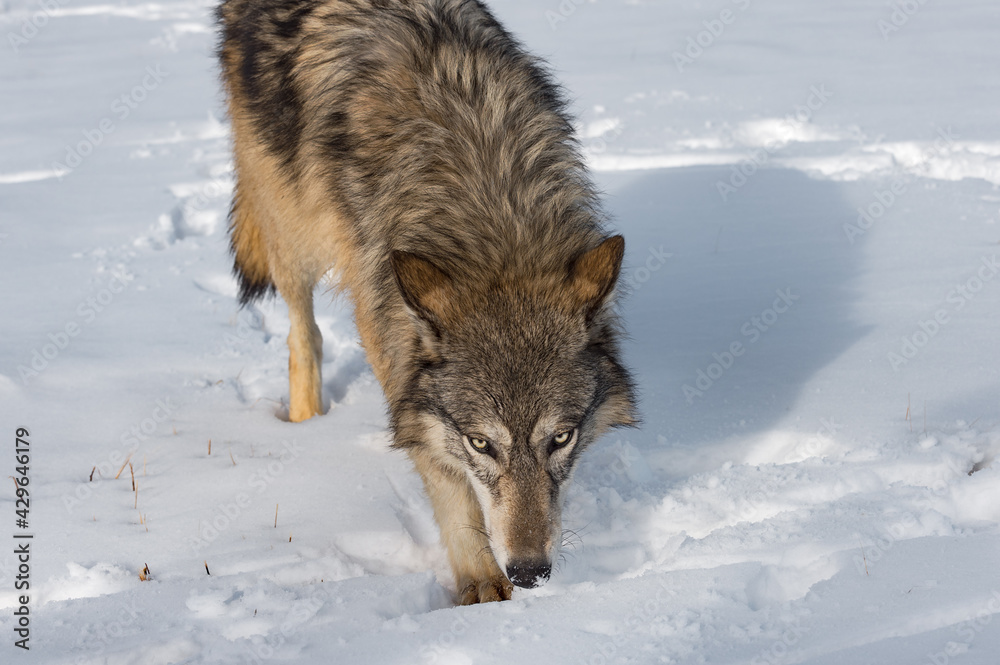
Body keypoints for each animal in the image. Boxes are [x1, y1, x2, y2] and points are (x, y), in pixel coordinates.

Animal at [217, 0, 637, 603]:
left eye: (561, 437)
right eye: (480, 443)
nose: (530, 571)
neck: (489, 209)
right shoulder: (393, 341)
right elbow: (446, 479)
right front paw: (481, 585)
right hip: (292, 230)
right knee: (304, 331)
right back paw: (304, 421)